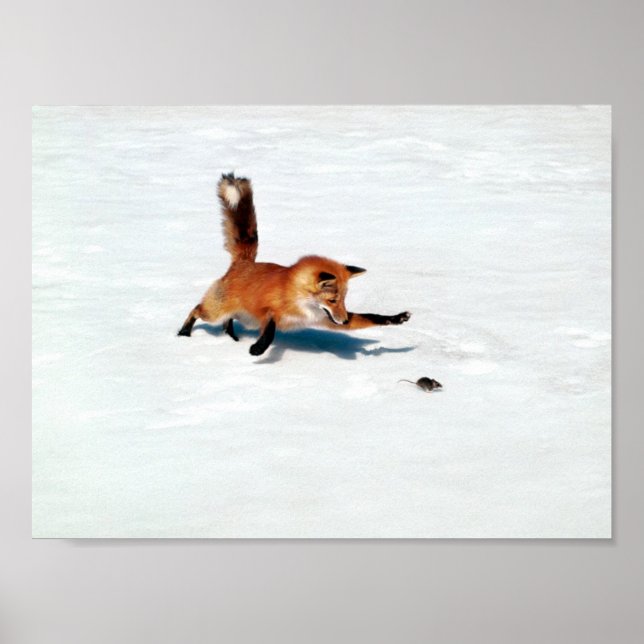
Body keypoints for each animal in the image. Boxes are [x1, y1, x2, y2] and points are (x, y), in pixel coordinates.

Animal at [178, 173, 411, 356]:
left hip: (241, 317)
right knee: (196, 310)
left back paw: (231, 338)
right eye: (333, 300)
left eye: (344, 300)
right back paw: (183, 333)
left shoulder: (325, 319)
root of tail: (244, 261)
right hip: (215, 312)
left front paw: (396, 318)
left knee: (227, 322)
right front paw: (258, 349)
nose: (344, 320)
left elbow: (372, 317)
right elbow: (270, 330)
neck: (299, 300)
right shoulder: (269, 311)